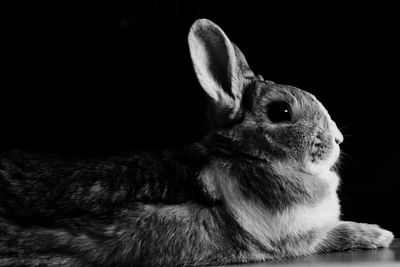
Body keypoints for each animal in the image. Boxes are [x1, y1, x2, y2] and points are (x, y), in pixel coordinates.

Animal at [0, 17, 394, 266]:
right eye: (281, 111)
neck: (243, 157)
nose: (337, 139)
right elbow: (334, 234)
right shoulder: (293, 239)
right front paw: (380, 234)